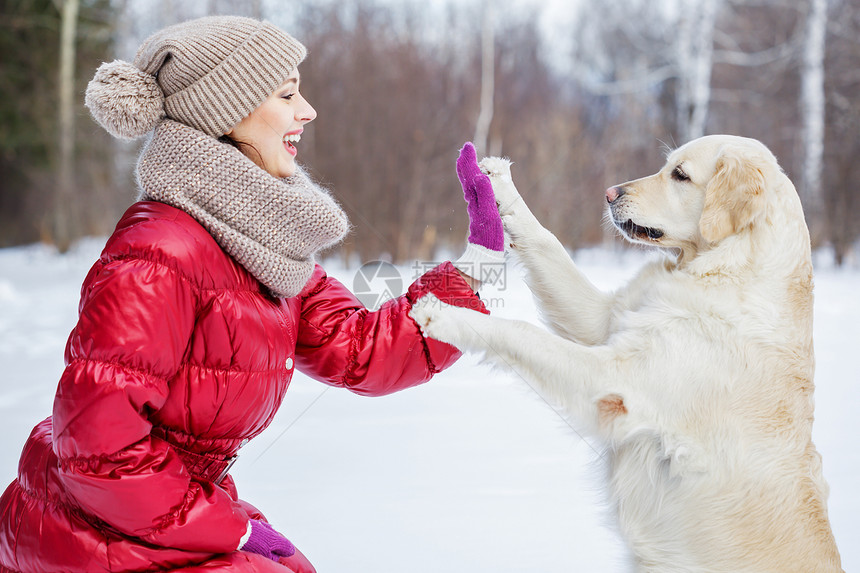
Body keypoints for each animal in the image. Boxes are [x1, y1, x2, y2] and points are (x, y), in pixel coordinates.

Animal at [414, 136, 844, 568]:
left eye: (680, 175)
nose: (609, 193)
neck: (726, 268)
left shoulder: (615, 382)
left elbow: (522, 332)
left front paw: (442, 314)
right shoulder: (600, 320)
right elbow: (547, 241)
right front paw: (498, 182)